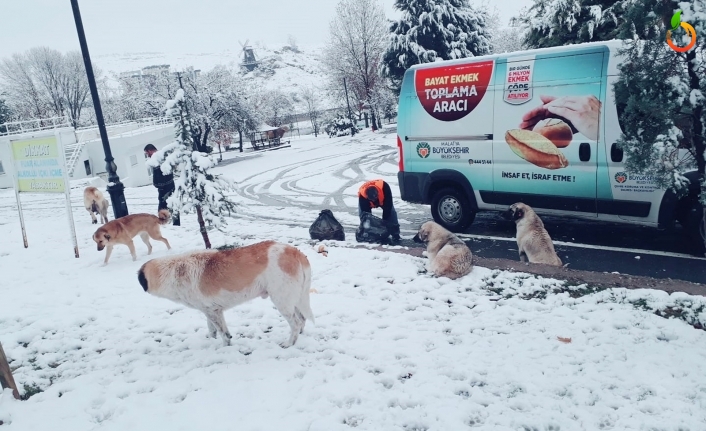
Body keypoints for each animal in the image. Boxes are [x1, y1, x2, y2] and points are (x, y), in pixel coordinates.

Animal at [136, 241, 312, 350]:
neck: (174, 271)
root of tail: (296, 252)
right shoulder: (210, 310)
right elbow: (211, 328)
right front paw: (211, 339)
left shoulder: (213, 312)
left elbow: (223, 333)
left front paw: (225, 346)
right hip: (294, 299)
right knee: (302, 319)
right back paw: (300, 336)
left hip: (282, 300)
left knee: (296, 322)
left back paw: (289, 343)